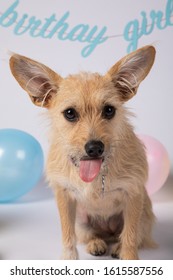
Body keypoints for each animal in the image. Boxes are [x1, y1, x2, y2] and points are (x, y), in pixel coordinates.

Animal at [9, 44, 155, 260]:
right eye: (70, 113)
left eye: (109, 110)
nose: (94, 148)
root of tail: (108, 231)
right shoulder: (64, 197)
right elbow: (67, 235)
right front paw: (69, 259)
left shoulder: (133, 195)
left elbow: (129, 237)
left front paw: (128, 258)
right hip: (82, 221)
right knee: (91, 235)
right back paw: (96, 243)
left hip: (144, 216)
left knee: (127, 236)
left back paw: (117, 248)